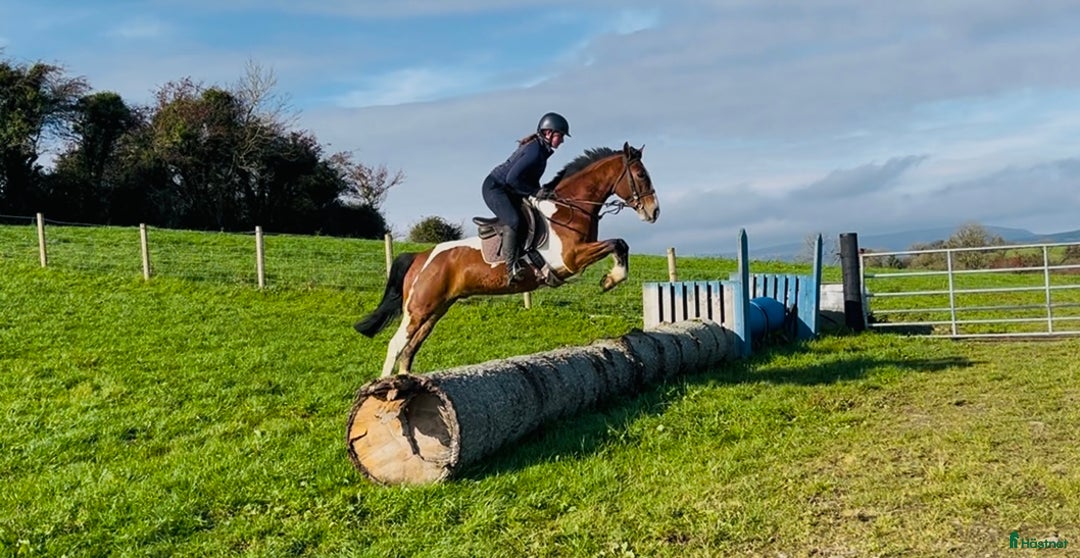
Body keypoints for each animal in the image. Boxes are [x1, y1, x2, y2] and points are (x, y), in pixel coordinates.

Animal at [355, 142, 660, 377]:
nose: (654, 211)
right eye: (640, 175)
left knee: (409, 350)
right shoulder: (570, 259)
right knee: (396, 346)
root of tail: (420, 257)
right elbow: (617, 243)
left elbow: (620, 244)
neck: (569, 208)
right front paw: (610, 280)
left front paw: (610, 279)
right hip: (418, 308)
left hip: (436, 309)